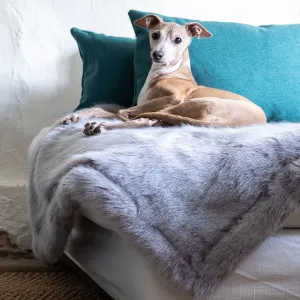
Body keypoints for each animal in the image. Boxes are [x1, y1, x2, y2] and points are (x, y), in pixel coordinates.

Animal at [59, 14, 266, 134]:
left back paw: (106, 125)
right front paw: (74, 116)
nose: (157, 55)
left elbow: (121, 111)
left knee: (144, 118)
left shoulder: (174, 98)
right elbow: (100, 110)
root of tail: (238, 123)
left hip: (195, 103)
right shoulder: (140, 105)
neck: (168, 72)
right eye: (155, 35)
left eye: (178, 40)